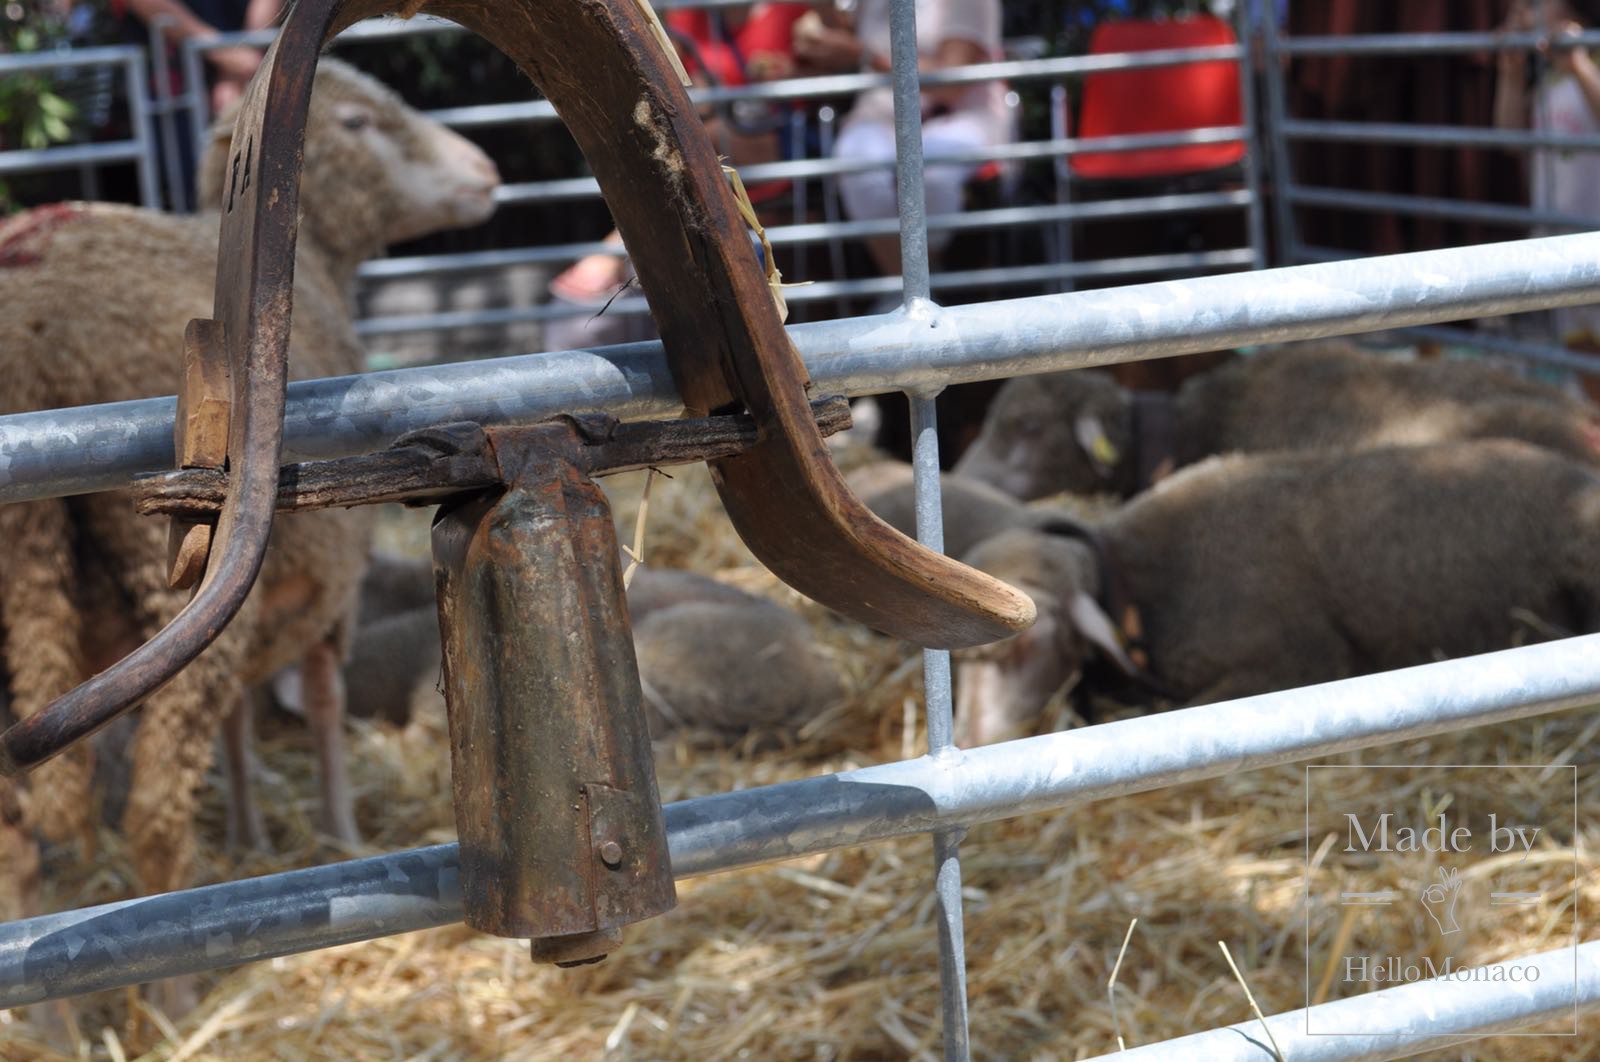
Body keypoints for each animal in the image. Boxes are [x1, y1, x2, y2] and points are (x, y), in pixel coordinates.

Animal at [0, 57, 499, 908]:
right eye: (358, 122)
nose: (488, 172)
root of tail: (30, 347)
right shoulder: (333, 576)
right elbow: (325, 698)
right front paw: (337, 831)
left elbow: (239, 717)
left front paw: (249, 826)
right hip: (174, 581)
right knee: (154, 809)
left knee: (17, 841)